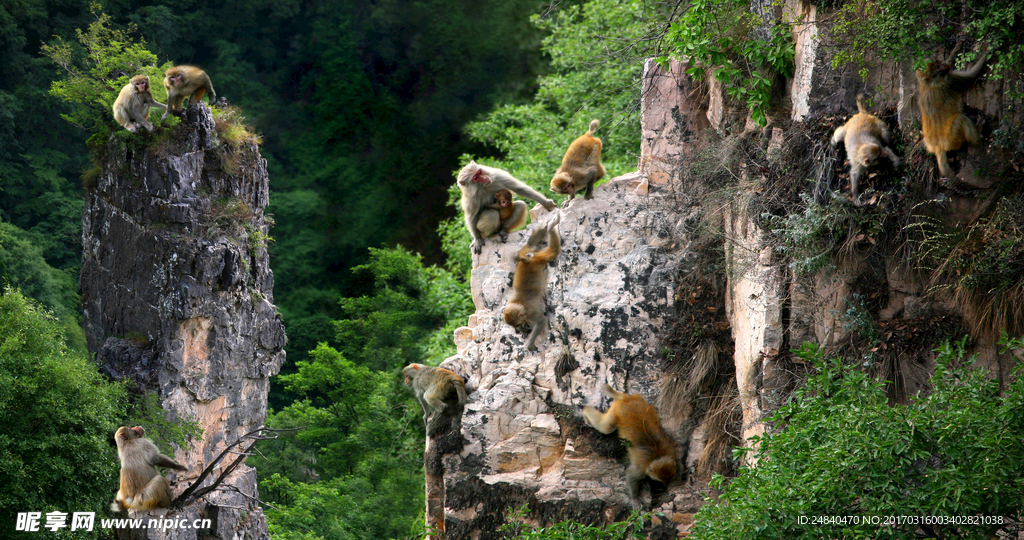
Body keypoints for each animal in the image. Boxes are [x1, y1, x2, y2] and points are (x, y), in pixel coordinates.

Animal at [501, 213, 561, 352]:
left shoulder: (530, 313)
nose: (519, 328)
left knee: (553, 251)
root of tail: (528, 261)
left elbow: (541, 321)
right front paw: (524, 332)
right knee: (530, 246)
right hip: (527, 254)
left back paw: (551, 227)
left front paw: (529, 344)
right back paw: (546, 228)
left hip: (539, 259)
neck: (519, 303)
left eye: (517, 324)